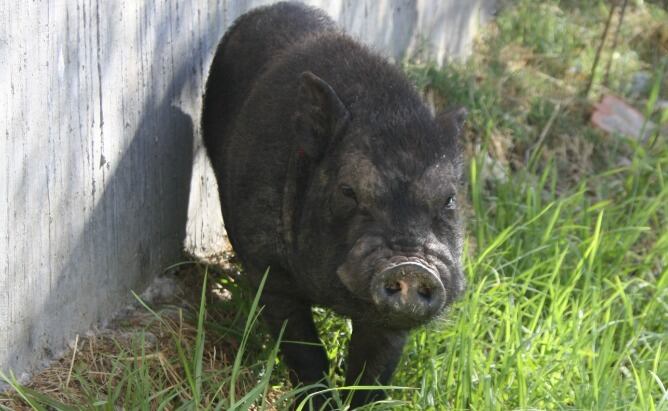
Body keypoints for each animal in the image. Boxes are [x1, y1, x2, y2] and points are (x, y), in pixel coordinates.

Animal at [202, 2, 467, 408]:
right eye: (347, 191)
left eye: (449, 198)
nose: (411, 265)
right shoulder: (269, 269)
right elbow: (303, 348)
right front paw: (317, 402)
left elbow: (373, 368)